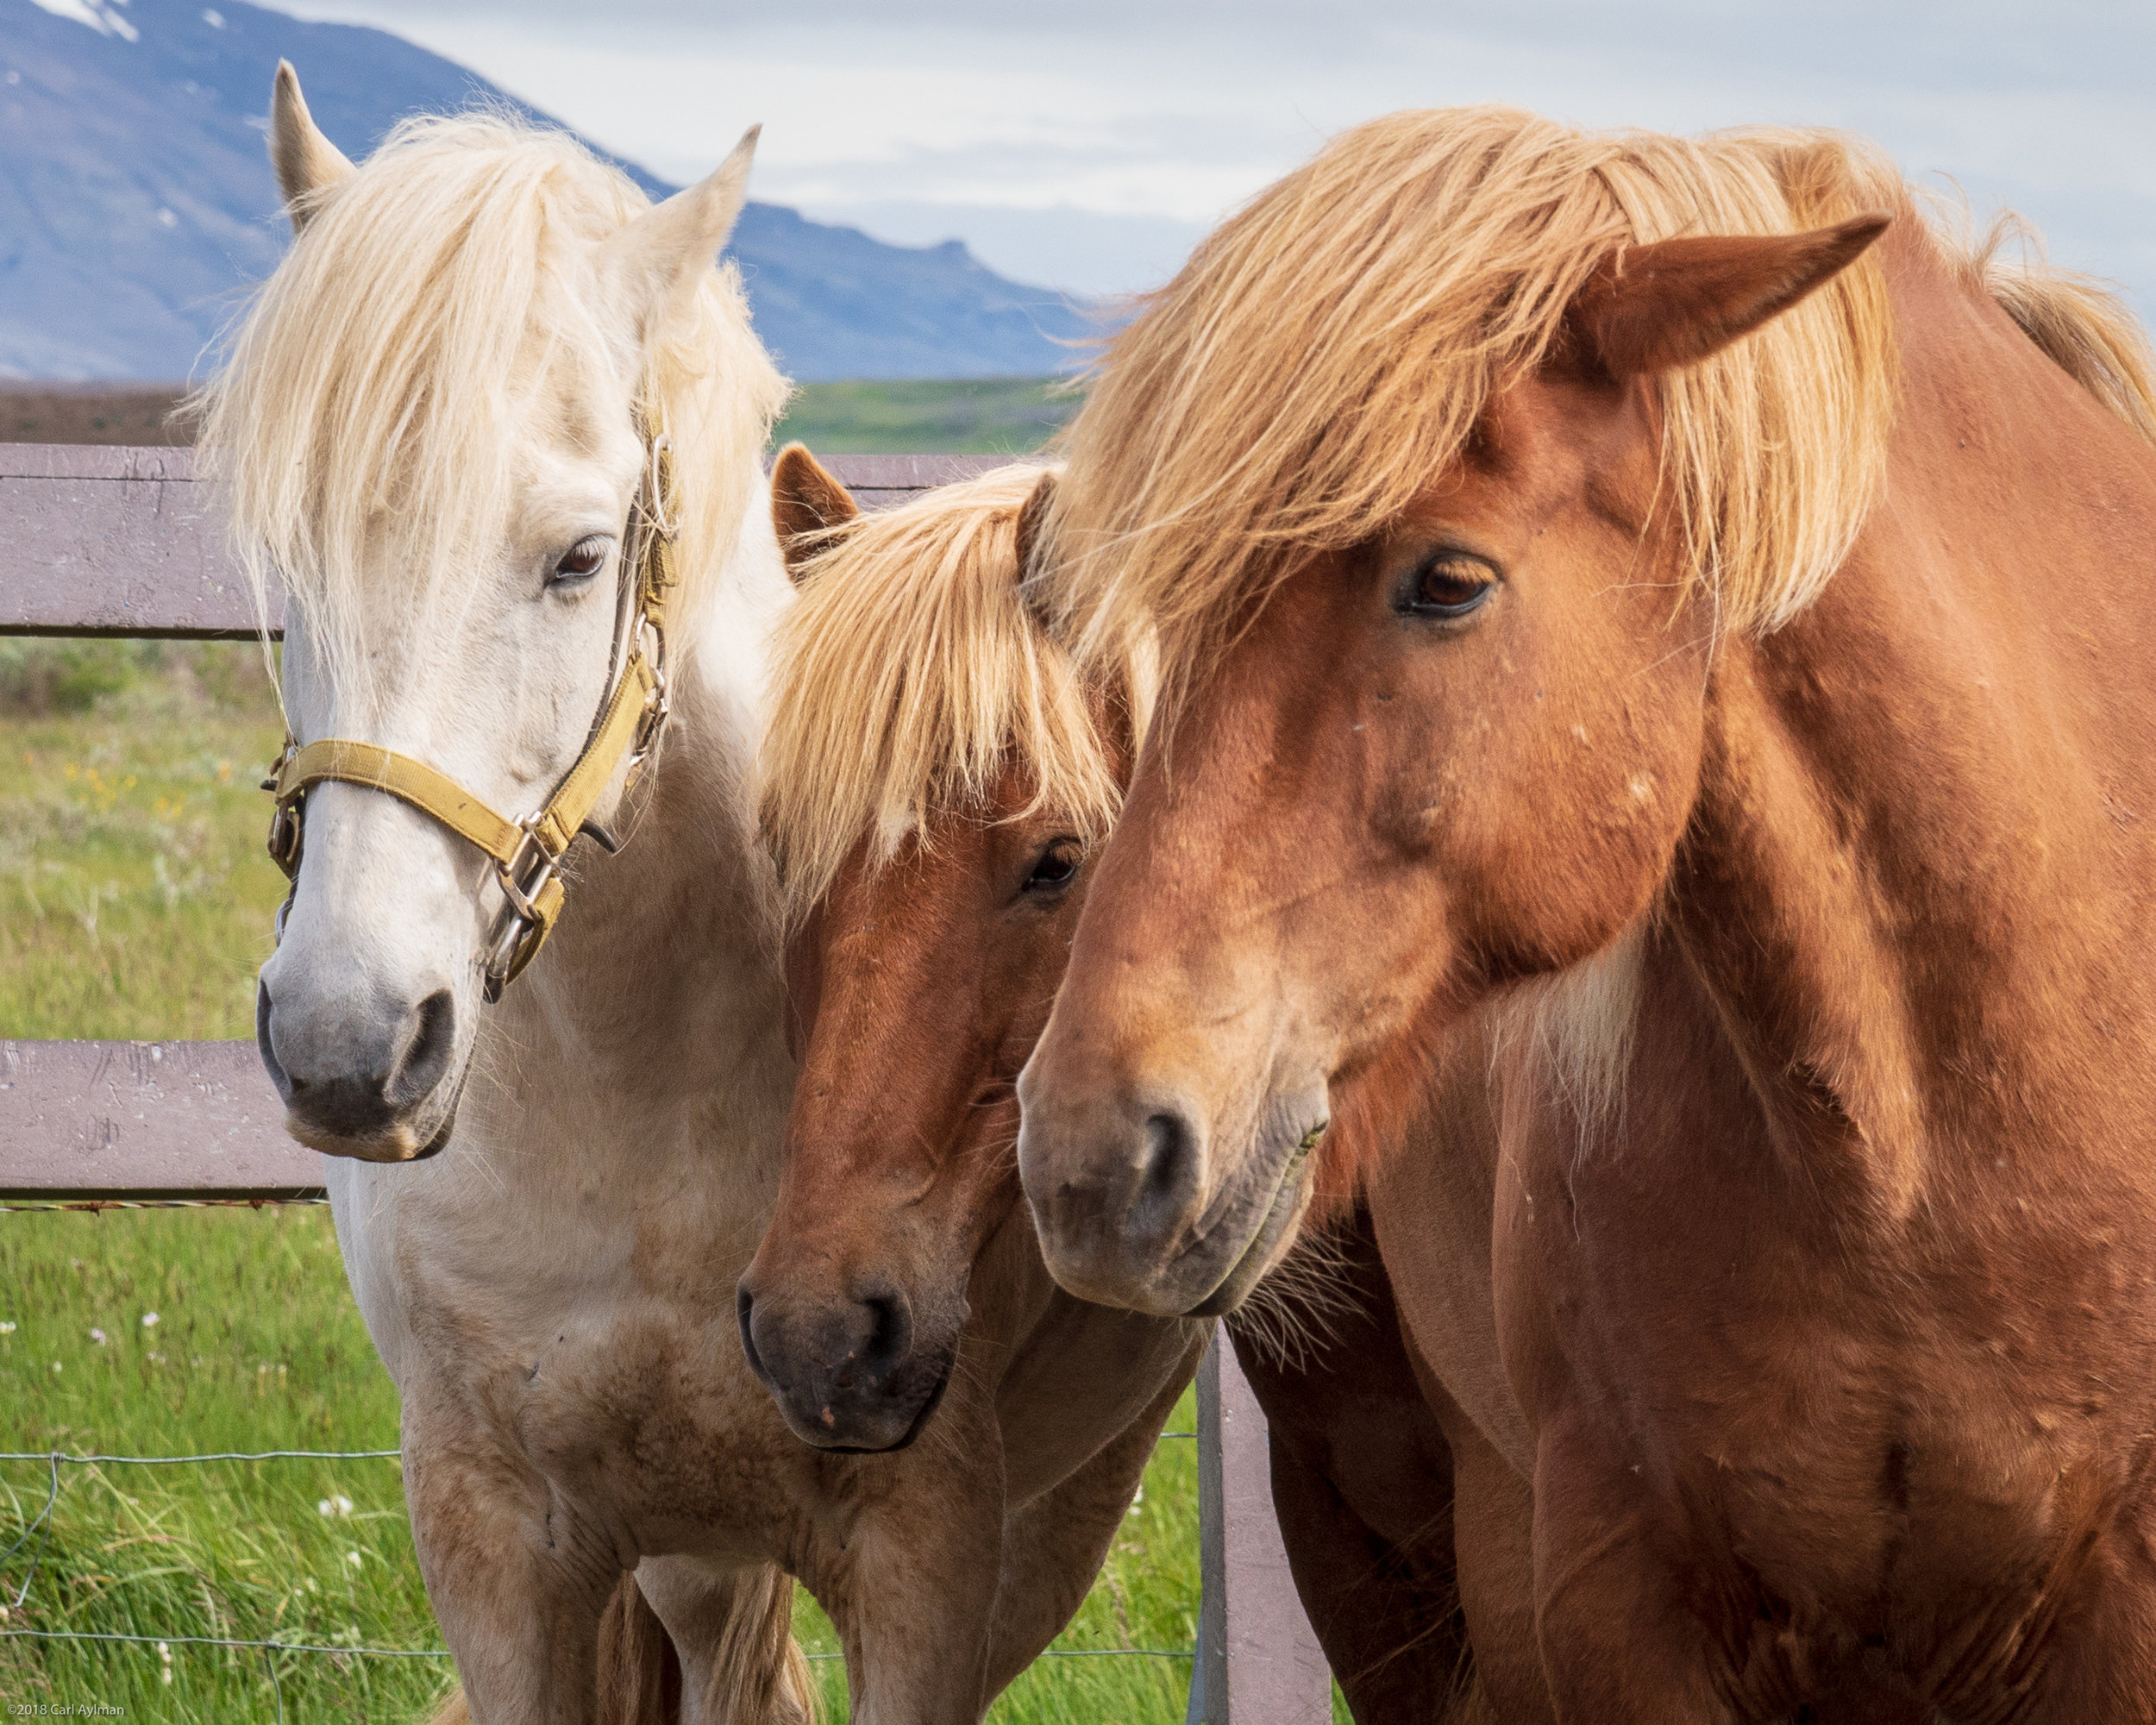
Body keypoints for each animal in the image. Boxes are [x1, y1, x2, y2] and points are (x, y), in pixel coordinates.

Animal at [198, 64, 1199, 1725]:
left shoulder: (929, 1561)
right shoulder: (493, 1538)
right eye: (288, 563)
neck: (644, 1109)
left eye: (578, 556)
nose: (346, 1045)